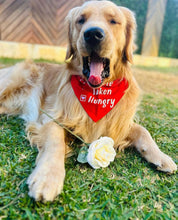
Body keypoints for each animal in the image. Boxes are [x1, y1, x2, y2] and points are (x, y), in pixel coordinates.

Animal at [0, 0, 176, 202]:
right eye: (81, 20)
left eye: (113, 21)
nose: (93, 34)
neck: (97, 94)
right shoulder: (51, 118)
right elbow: (55, 142)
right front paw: (47, 177)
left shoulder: (119, 122)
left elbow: (143, 131)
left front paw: (161, 157)